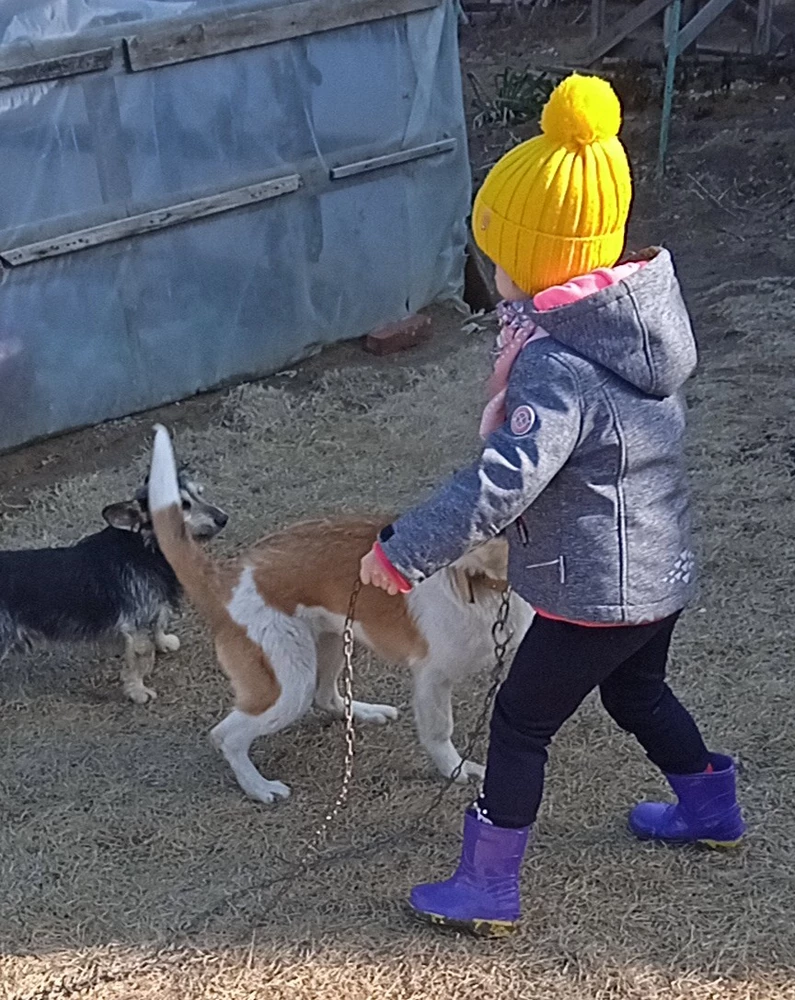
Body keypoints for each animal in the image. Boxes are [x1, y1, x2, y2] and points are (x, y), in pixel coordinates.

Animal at [0, 474, 230, 704]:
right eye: (183, 505)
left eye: (199, 493)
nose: (224, 518)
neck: (145, 545)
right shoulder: (134, 626)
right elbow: (139, 659)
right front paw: (138, 691)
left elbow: (159, 624)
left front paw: (163, 641)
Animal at [149, 424, 536, 804]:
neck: (483, 582)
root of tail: (225, 577)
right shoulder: (432, 677)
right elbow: (440, 732)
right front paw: (456, 770)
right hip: (289, 683)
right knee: (227, 735)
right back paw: (259, 787)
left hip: (332, 642)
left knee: (326, 697)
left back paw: (366, 711)